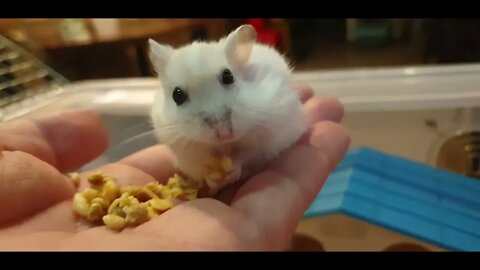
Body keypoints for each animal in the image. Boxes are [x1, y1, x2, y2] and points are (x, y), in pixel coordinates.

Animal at [148, 24, 310, 195]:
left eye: (228, 76)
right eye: (177, 95)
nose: (224, 134)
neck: (225, 145)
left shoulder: (266, 137)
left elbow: (246, 156)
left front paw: (231, 171)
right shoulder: (188, 151)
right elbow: (202, 164)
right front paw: (213, 180)